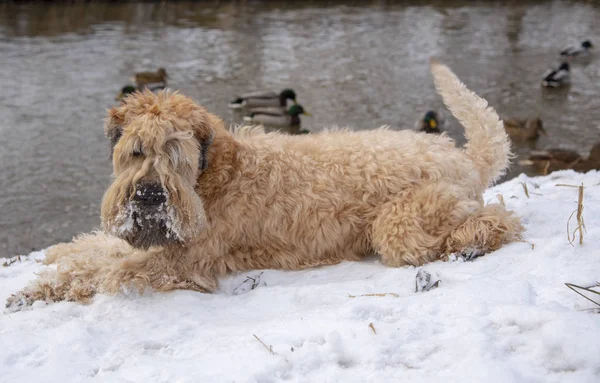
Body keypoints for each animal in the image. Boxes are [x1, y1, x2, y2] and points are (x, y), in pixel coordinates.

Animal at [4, 60, 524, 312]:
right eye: (136, 150)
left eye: (176, 155)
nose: (150, 195)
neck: (213, 177)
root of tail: (464, 157)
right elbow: (94, 251)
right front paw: (47, 271)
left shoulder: (184, 261)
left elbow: (108, 272)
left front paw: (48, 290)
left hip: (402, 222)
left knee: (500, 218)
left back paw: (473, 243)